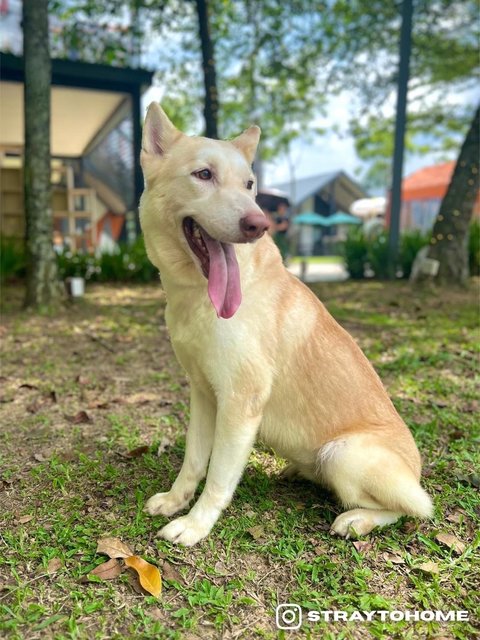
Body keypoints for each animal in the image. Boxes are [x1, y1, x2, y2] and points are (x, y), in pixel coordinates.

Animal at [138, 104, 432, 544]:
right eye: (203, 174)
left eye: (249, 185)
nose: (258, 224)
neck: (197, 295)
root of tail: (415, 472)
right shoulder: (204, 394)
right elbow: (193, 460)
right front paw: (176, 500)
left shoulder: (240, 403)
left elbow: (219, 476)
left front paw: (195, 524)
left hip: (342, 453)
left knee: (413, 509)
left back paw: (357, 520)